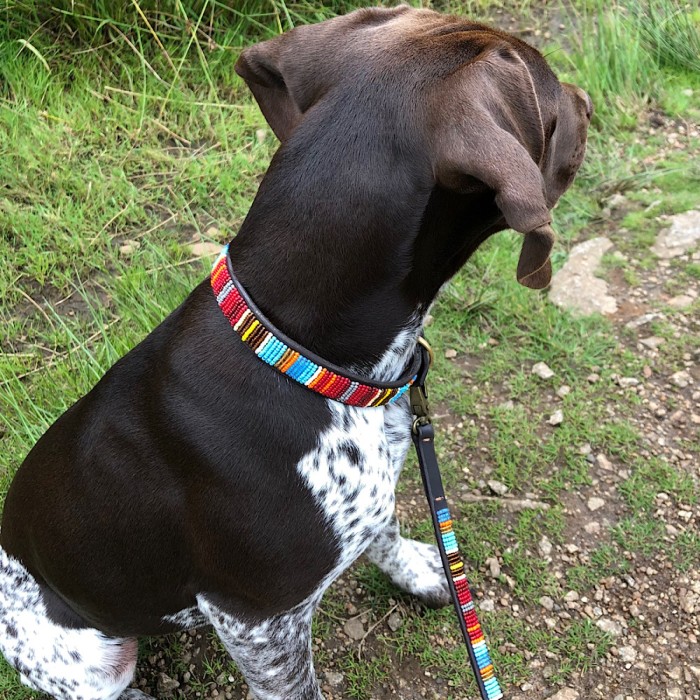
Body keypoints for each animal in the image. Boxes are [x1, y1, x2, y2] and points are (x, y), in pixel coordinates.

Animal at [0, 6, 592, 700]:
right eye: (553, 99)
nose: (587, 100)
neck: (300, 357)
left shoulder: (370, 493)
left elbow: (385, 527)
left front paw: (420, 571)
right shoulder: (257, 621)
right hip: (90, 657)